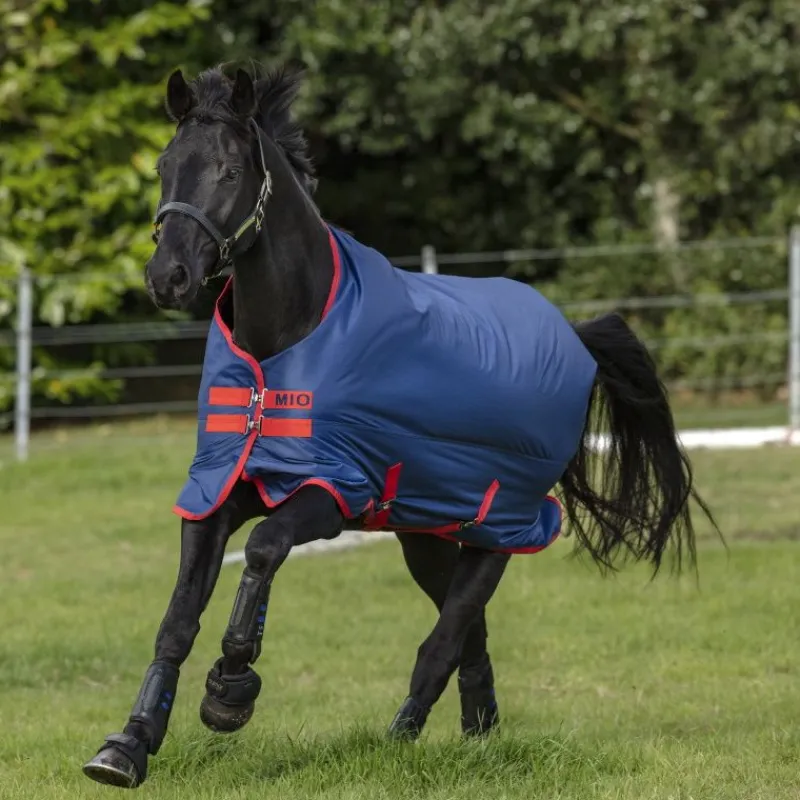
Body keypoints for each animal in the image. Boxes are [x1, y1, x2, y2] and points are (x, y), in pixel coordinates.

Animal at [82, 62, 717, 789]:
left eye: (229, 169)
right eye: (165, 166)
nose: (169, 277)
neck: (288, 342)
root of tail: (575, 338)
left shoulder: (333, 492)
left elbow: (265, 549)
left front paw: (229, 694)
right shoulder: (219, 488)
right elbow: (178, 617)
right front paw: (127, 746)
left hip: (502, 529)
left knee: (444, 639)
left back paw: (401, 738)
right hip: (428, 533)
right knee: (469, 632)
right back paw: (479, 734)